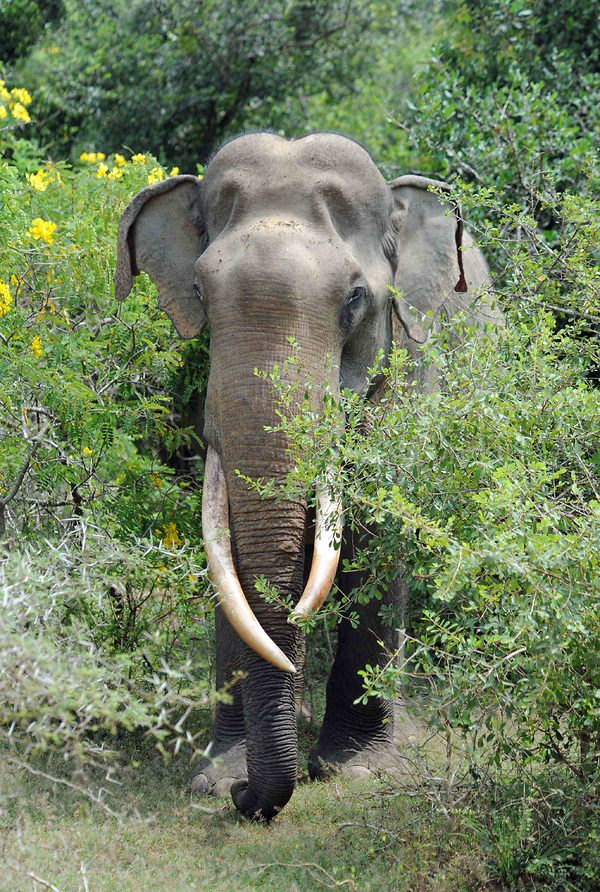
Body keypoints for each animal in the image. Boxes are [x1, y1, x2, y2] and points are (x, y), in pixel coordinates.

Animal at [115, 132, 500, 824]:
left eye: (355, 298)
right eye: (198, 290)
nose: (245, 800)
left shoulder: (409, 366)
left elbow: (377, 532)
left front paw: (353, 772)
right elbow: (226, 547)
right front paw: (218, 777)